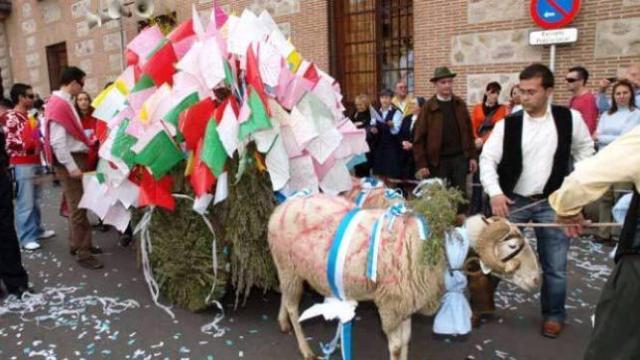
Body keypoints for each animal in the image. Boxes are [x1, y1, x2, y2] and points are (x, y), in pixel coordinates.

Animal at [264, 195, 540, 358]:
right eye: (513, 246)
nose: (538, 280)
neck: (435, 249)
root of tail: (280, 207)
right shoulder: (391, 304)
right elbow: (396, 347)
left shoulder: (406, 302)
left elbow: (406, 341)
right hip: (289, 267)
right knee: (293, 306)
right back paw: (305, 348)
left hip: (287, 268)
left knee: (285, 296)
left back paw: (282, 322)